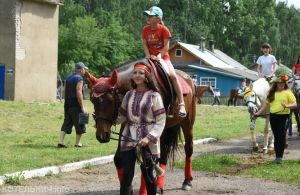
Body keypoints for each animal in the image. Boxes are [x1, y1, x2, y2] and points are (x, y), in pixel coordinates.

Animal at [85, 58, 196, 193]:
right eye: (92, 100)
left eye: (110, 100)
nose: (101, 135)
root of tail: (188, 78)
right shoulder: (126, 125)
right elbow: (119, 158)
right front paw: (129, 188)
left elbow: (147, 159)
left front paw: (144, 191)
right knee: (164, 154)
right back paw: (160, 184)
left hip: (186, 122)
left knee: (188, 148)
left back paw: (186, 181)